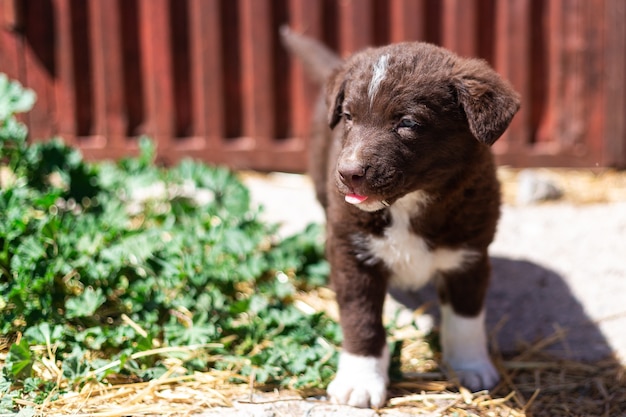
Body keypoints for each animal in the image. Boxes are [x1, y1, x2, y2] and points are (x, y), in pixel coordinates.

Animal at [280, 26, 520, 406]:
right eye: (348, 117)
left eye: (407, 123)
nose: (348, 173)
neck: (408, 205)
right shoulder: (350, 252)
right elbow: (361, 319)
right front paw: (361, 380)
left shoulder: (470, 253)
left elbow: (466, 318)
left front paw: (470, 365)